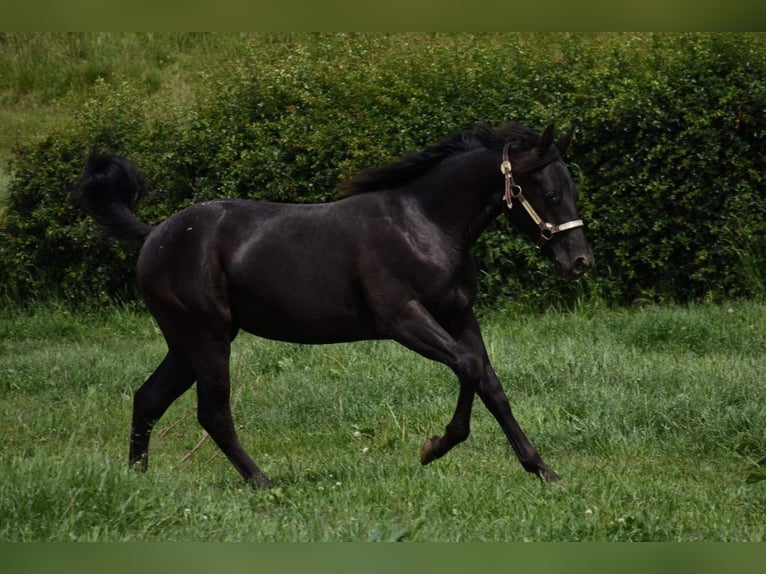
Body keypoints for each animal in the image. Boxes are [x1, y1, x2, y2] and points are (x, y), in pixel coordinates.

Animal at [76, 122, 592, 490]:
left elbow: (490, 384)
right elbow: (467, 368)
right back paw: (263, 483)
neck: (424, 224)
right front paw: (433, 447)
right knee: (212, 413)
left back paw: (138, 480)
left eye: (572, 190)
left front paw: (543, 470)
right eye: (549, 193)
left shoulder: (459, 316)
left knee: (148, 398)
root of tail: (153, 236)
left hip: (184, 345)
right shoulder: (403, 319)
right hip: (207, 339)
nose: (580, 261)